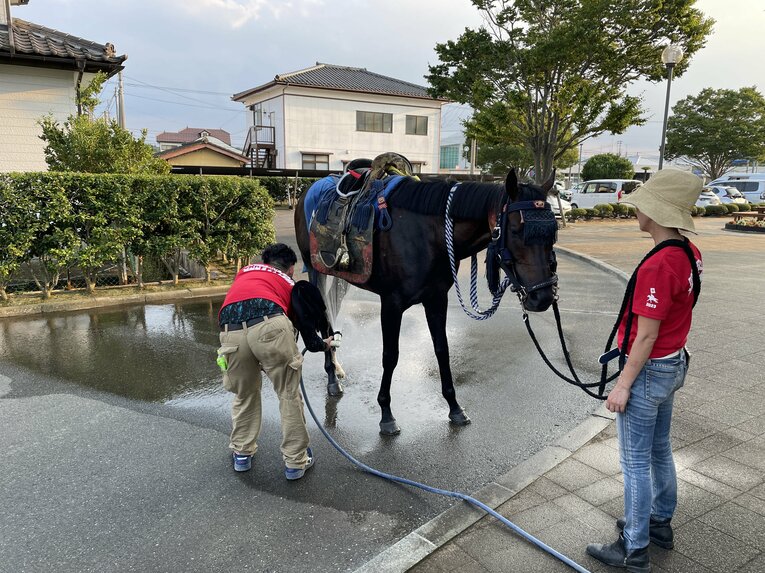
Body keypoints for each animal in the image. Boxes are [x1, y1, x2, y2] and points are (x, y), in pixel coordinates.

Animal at [295, 163, 558, 435]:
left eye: (553, 233)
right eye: (516, 230)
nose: (542, 297)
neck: (429, 234)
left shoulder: (436, 299)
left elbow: (442, 350)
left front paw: (454, 407)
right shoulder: (391, 304)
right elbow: (390, 356)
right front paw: (386, 413)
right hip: (316, 271)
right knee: (324, 322)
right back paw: (332, 379)